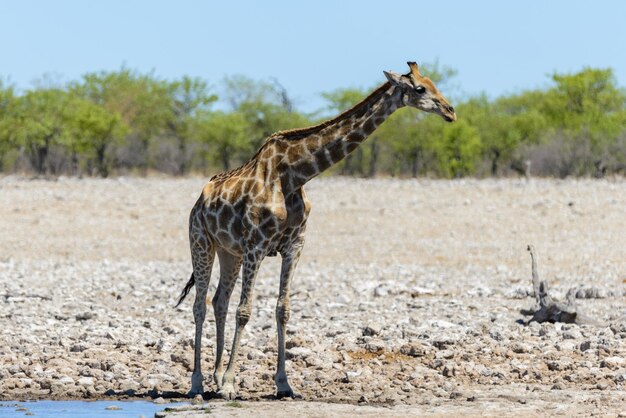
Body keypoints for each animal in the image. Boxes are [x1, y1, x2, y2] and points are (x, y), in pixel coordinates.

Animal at [176, 61, 454, 398]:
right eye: (420, 88)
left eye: (433, 82)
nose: (450, 111)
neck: (294, 175)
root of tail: (198, 202)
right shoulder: (257, 245)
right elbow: (245, 310)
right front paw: (230, 384)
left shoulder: (294, 246)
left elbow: (283, 309)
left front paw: (284, 384)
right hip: (201, 242)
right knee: (200, 305)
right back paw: (198, 383)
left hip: (231, 253)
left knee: (219, 301)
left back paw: (215, 377)